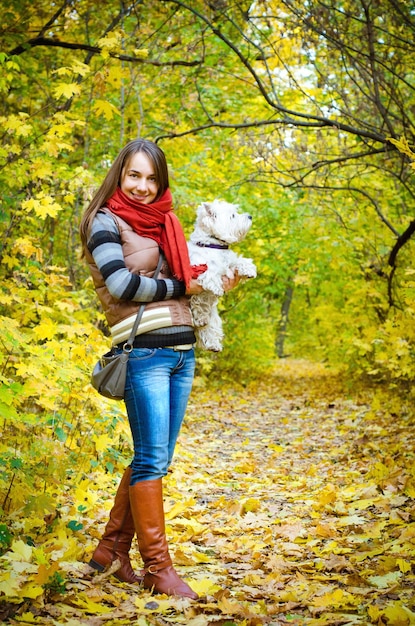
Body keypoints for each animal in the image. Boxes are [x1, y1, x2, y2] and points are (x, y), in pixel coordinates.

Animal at [188, 197, 256, 348]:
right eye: (233, 216)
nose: (250, 216)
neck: (215, 245)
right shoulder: (198, 267)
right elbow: (210, 274)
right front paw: (217, 288)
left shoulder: (230, 265)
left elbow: (239, 261)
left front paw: (249, 270)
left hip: (213, 315)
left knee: (208, 328)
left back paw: (213, 344)